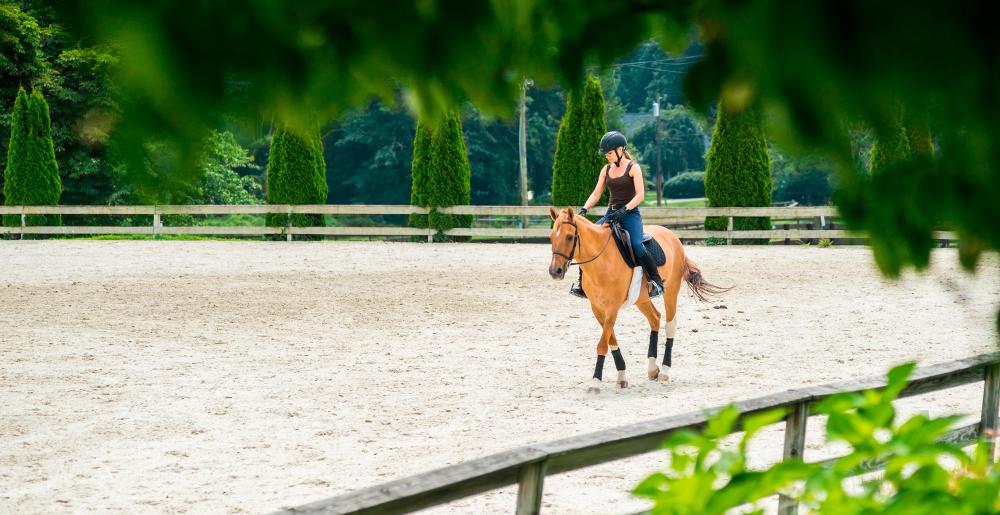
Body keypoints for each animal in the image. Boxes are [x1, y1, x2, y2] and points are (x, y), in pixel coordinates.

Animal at [548, 208, 728, 394]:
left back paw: (664, 371)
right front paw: (621, 377)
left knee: (670, 325)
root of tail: (671, 235)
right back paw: (652, 369)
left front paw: (595, 382)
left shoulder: (612, 309)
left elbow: (603, 344)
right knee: (655, 318)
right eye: (551, 237)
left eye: (570, 237)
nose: (555, 271)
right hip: (641, 299)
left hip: (671, 292)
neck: (602, 260)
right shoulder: (597, 308)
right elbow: (611, 340)